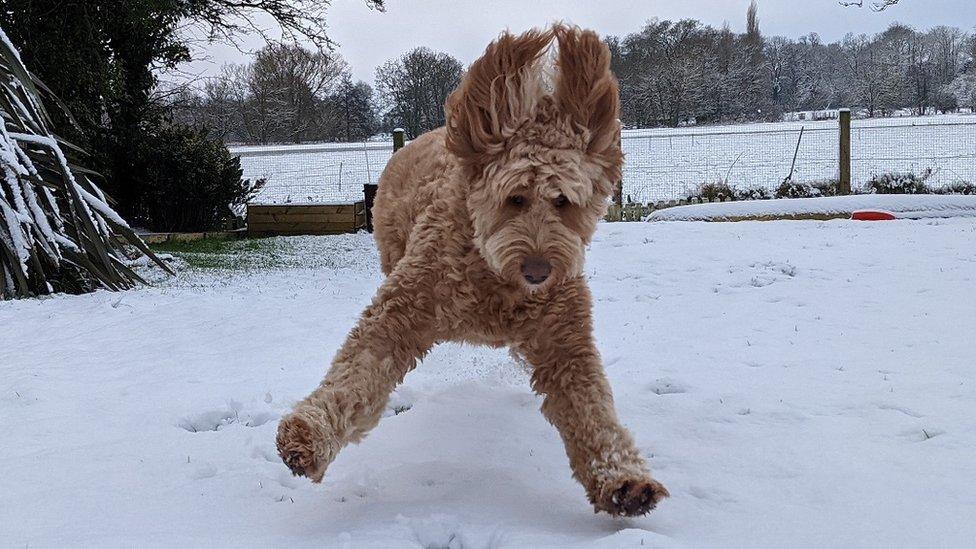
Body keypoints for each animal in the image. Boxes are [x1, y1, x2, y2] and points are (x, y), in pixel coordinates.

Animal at [278, 24, 668, 512]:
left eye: (563, 201)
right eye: (514, 198)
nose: (539, 270)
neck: (495, 279)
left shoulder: (565, 338)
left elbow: (590, 406)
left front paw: (622, 479)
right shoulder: (401, 310)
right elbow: (357, 370)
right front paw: (308, 436)